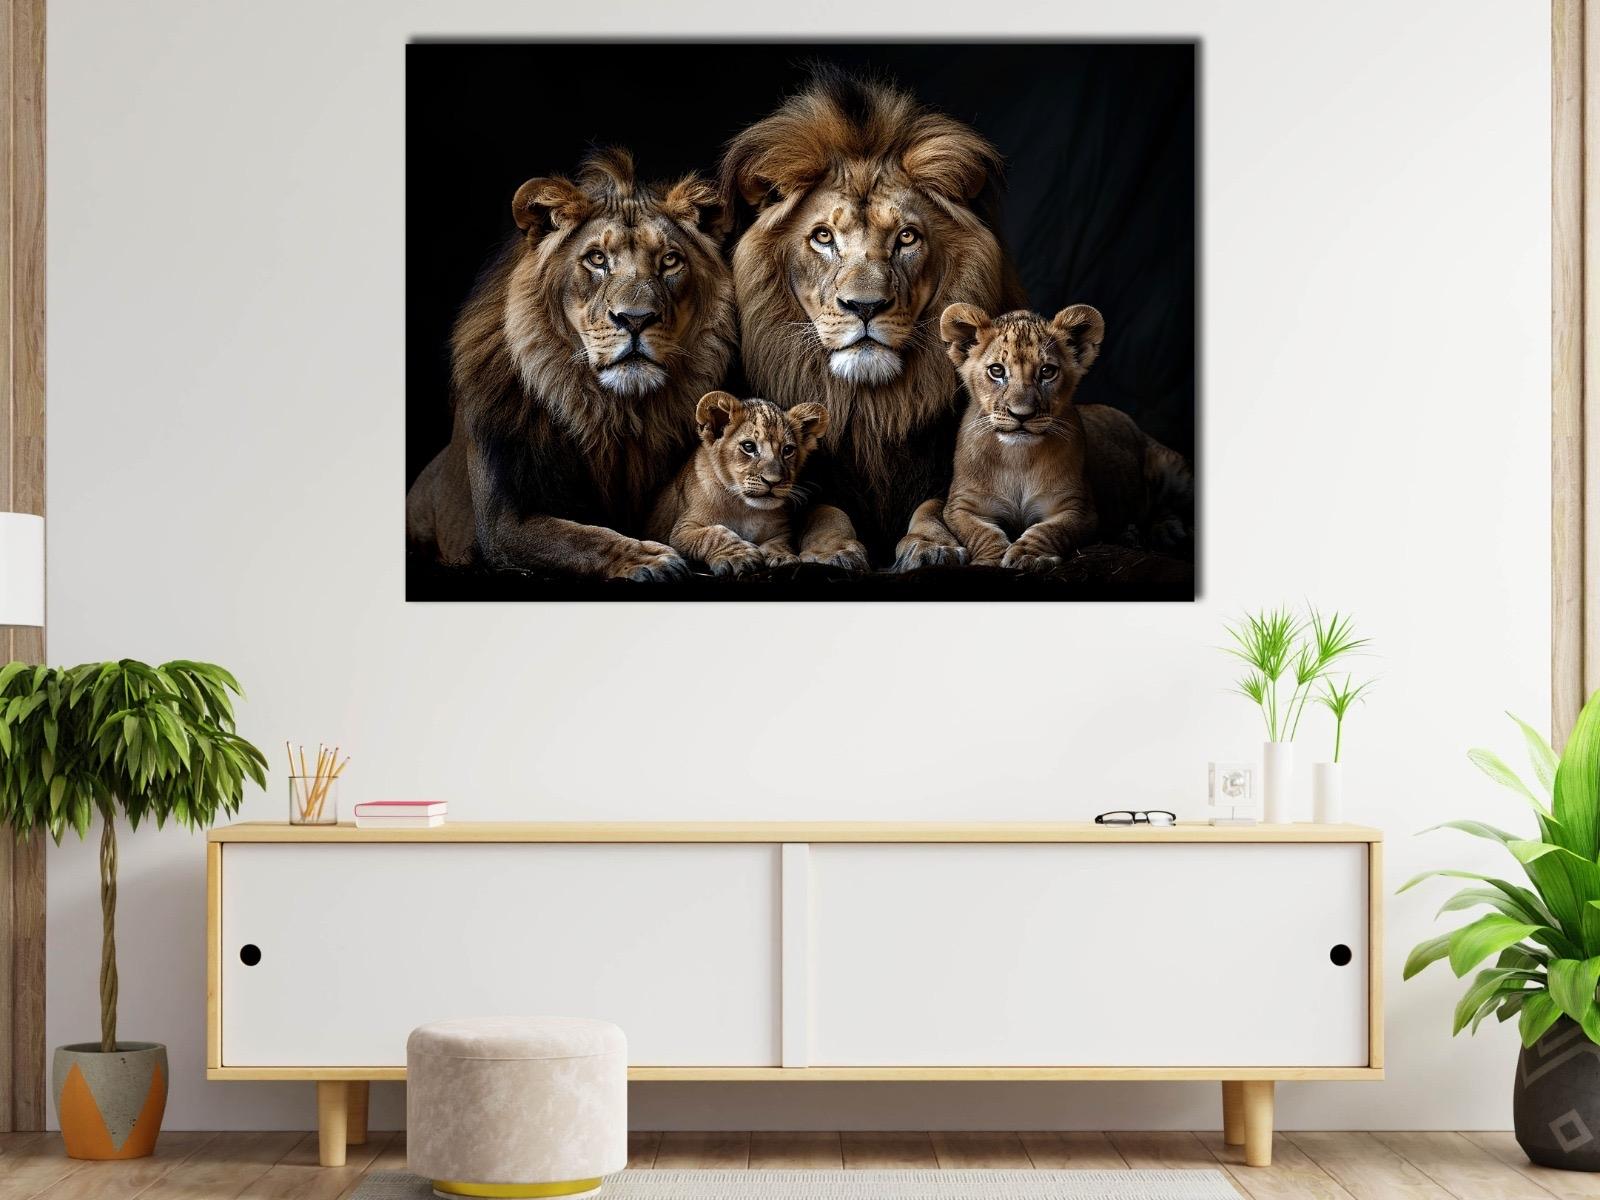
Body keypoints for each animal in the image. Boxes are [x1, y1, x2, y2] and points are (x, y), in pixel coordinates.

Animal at [405, 148, 737, 581]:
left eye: (669, 261)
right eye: (596, 259)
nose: (635, 319)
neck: (616, 412)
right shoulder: (502, 524)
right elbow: (580, 536)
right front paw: (645, 558)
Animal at [646, 391, 829, 576]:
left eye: (788, 450)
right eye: (749, 446)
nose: (773, 481)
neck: (745, 508)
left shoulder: (780, 531)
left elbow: (780, 543)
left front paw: (782, 557)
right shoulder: (682, 529)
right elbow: (713, 534)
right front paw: (740, 556)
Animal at [718, 70, 1024, 571]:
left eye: (907, 237)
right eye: (823, 237)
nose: (864, 306)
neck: (872, 410)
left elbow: (935, 506)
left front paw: (932, 546)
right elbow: (824, 510)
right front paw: (832, 550)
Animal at [940, 302, 1193, 569]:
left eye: (1047, 371)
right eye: (997, 370)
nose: (1022, 414)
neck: (1017, 457)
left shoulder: (1077, 507)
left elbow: (1050, 530)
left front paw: (1029, 555)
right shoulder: (961, 505)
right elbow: (980, 532)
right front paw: (992, 558)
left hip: (1175, 472)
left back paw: (1167, 532)